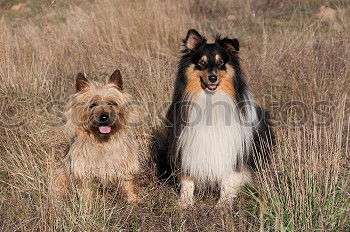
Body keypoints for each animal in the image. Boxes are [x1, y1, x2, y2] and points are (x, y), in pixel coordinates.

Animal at [161, 29, 274, 208]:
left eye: (221, 63)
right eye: (201, 63)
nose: (213, 78)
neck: (210, 100)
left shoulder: (232, 148)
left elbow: (228, 178)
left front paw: (223, 204)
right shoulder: (185, 142)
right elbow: (187, 178)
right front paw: (184, 202)